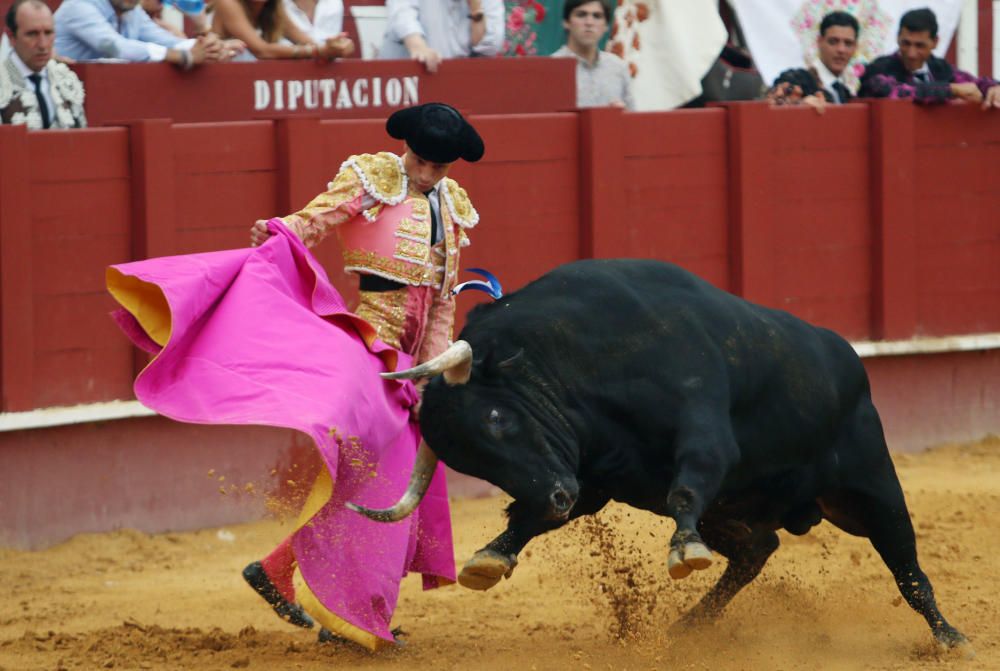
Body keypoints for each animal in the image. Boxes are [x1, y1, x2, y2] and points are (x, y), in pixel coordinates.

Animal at [350, 260, 968, 652]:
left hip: (871, 486)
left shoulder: (704, 429)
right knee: (756, 551)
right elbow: (534, 520)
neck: (578, 363)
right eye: (467, 461)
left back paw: (949, 637)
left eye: (497, 419)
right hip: (735, 510)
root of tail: (846, 356)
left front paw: (682, 551)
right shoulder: (590, 477)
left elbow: (687, 484)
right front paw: (490, 557)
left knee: (906, 563)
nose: (554, 497)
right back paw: (688, 627)